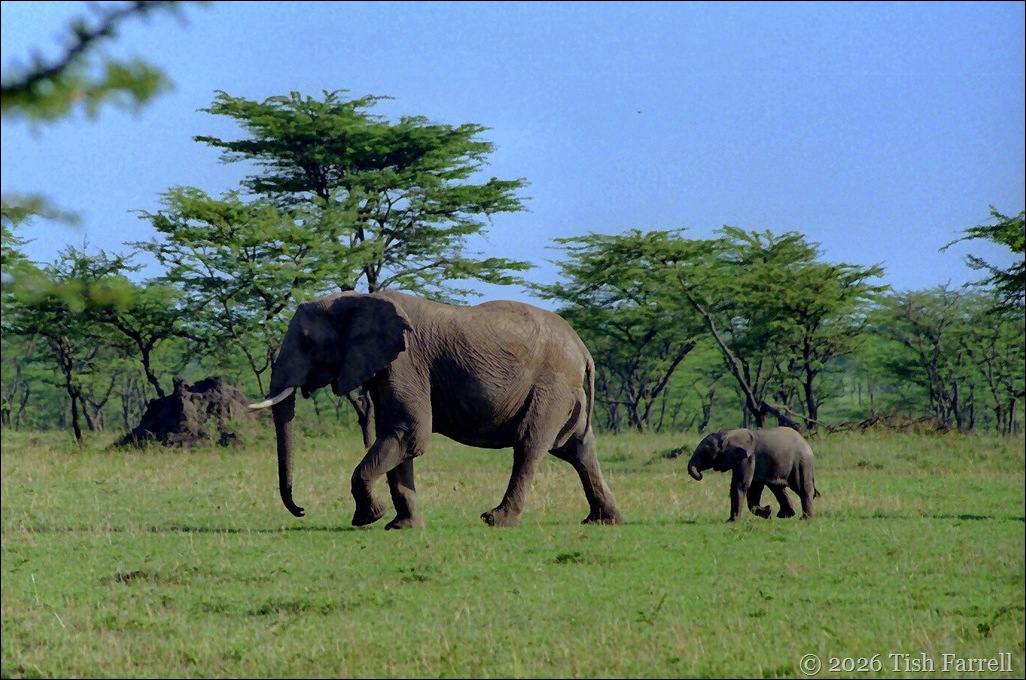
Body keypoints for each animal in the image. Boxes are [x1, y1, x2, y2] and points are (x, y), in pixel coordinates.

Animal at [248, 289, 624, 530]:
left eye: (307, 342)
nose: (301, 510)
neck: (357, 300)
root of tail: (583, 349)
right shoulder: (385, 368)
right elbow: (398, 438)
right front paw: (402, 527)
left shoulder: (405, 362)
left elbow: (408, 433)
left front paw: (369, 518)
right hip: (566, 393)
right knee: (578, 449)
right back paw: (603, 521)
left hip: (552, 386)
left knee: (529, 447)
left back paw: (496, 520)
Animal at [686, 427, 819, 522]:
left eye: (705, 453)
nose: (700, 475)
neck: (729, 434)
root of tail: (806, 443)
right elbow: (753, 489)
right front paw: (768, 512)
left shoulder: (748, 458)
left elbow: (741, 485)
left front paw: (731, 521)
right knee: (778, 488)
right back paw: (785, 515)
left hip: (801, 463)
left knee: (802, 488)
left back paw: (805, 519)